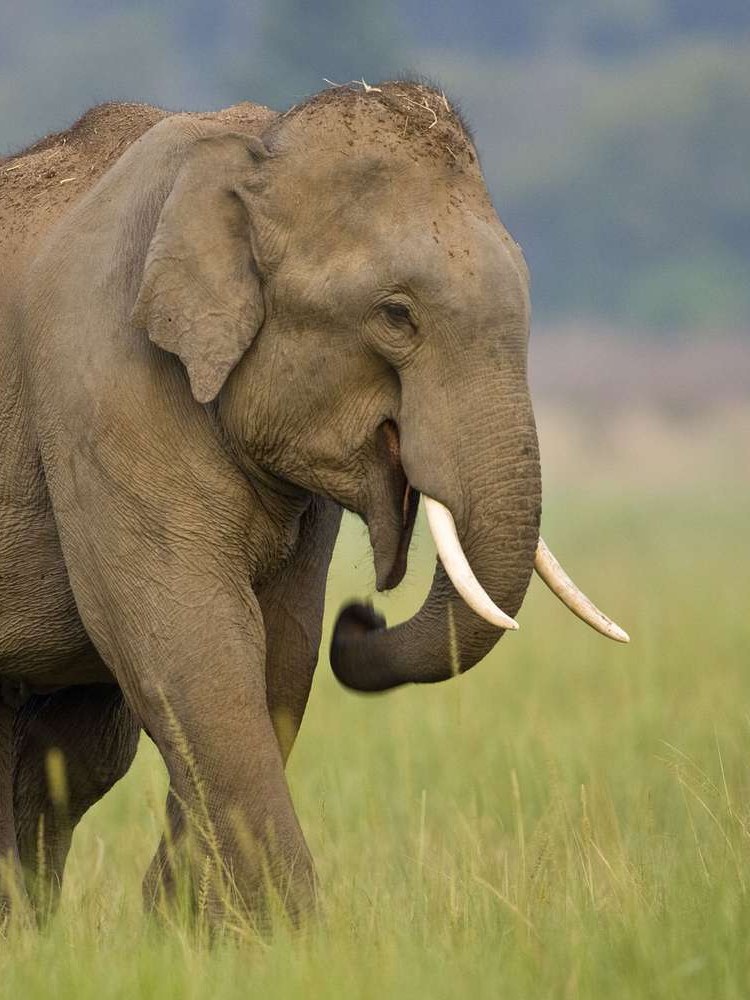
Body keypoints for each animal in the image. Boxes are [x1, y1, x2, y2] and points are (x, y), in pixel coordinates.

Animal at [0, 80, 627, 922]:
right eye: (396, 315)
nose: (361, 617)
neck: (251, 152)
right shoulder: (103, 387)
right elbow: (193, 644)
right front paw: (286, 933)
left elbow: (281, 652)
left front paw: (192, 923)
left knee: (76, 752)